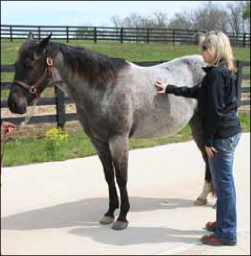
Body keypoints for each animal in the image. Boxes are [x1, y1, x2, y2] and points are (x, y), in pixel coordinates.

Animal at [7, 34, 214, 230]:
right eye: (16, 64)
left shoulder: (118, 139)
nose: (14, 104)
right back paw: (204, 196)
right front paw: (109, 213)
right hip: (196, 126)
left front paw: (122, 217)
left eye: (30, 63)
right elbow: (108, 176)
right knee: (207, 157)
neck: (104, 88)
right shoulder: (98, 141)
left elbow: (122, 177)